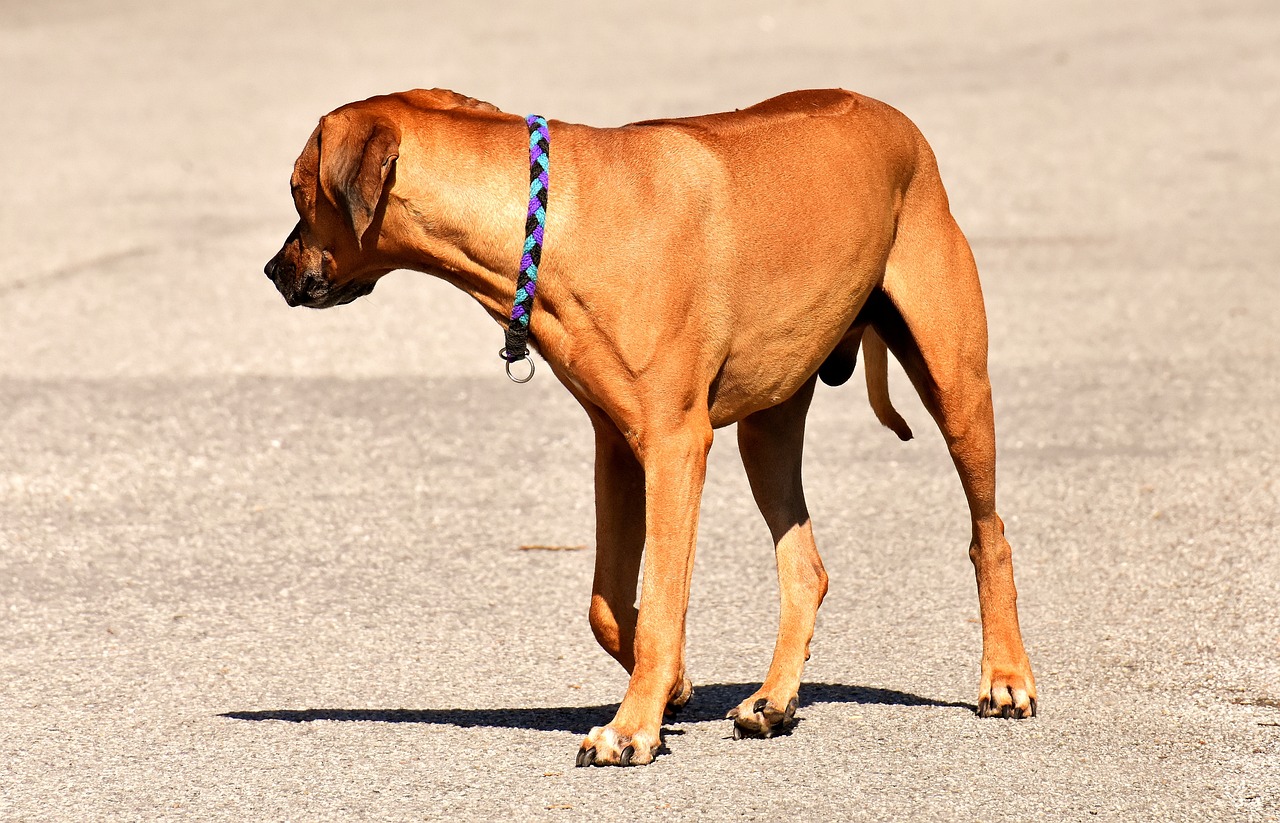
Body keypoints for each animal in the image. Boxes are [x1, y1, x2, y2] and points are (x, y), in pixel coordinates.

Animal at [262, 88, 1039, 767]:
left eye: (298, 192)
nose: (273, 271)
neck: (552, 218)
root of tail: (896, 119)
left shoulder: (673, 446)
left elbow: (664, 598)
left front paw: (632, 727)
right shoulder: (616, 446)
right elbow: (606, 603)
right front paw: (673, 684)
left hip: (956, 385)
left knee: (989, 533)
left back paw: (1005, 676)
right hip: (768, 423)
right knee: (805, 567)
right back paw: (776, 698)